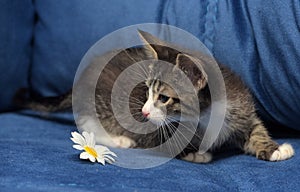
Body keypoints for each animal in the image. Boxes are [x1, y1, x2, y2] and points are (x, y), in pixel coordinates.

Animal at [17, 30, 296, 164]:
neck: (209, 113)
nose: (144, 112)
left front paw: (274, 149)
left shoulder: (241, 107)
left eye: (163, 98)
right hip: (95, 102)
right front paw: (194, 153)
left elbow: (255, 129)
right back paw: (119, 139)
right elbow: (167, 141)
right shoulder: (155, 130)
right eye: (147, 91)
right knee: (88, 123)